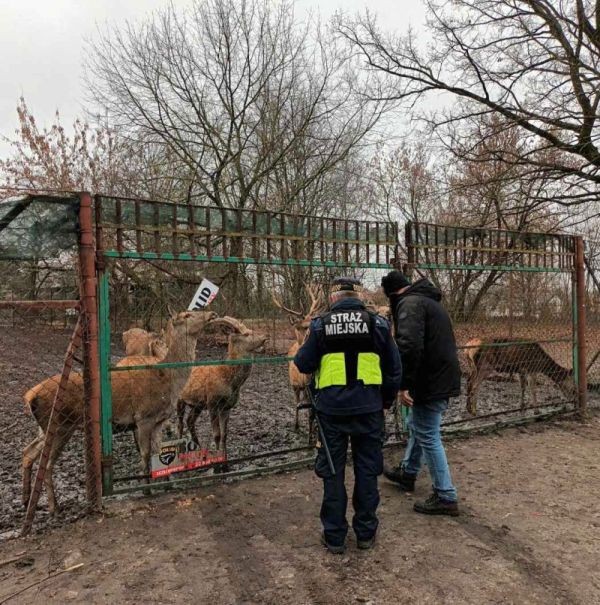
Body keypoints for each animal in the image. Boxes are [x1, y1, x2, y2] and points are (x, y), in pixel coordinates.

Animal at [22, 310, 218, 512]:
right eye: (187, 315)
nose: (212, 313)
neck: (167, 381)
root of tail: (30, 396)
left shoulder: (159, 420)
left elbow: (158, 451)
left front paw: (167, 483)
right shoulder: (143, 417)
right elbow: (145, 454)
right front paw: (146, 488)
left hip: (45, 428)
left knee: (28, 452)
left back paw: (26, 499)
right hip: (62, 425)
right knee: (47, 464)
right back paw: (54, 506)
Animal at [175, 316, 266, 468]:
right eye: (246, 333)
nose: (265, 337)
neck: (230, 381)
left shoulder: (227, 406)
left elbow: (224, 435)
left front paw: (226, 462)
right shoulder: (213, 402)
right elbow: (216, 434)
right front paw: (217, 465)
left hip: (198, 404)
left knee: (190, 421)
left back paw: (201, 452)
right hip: (179, 400)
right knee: (180, 424)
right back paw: (182, 457)